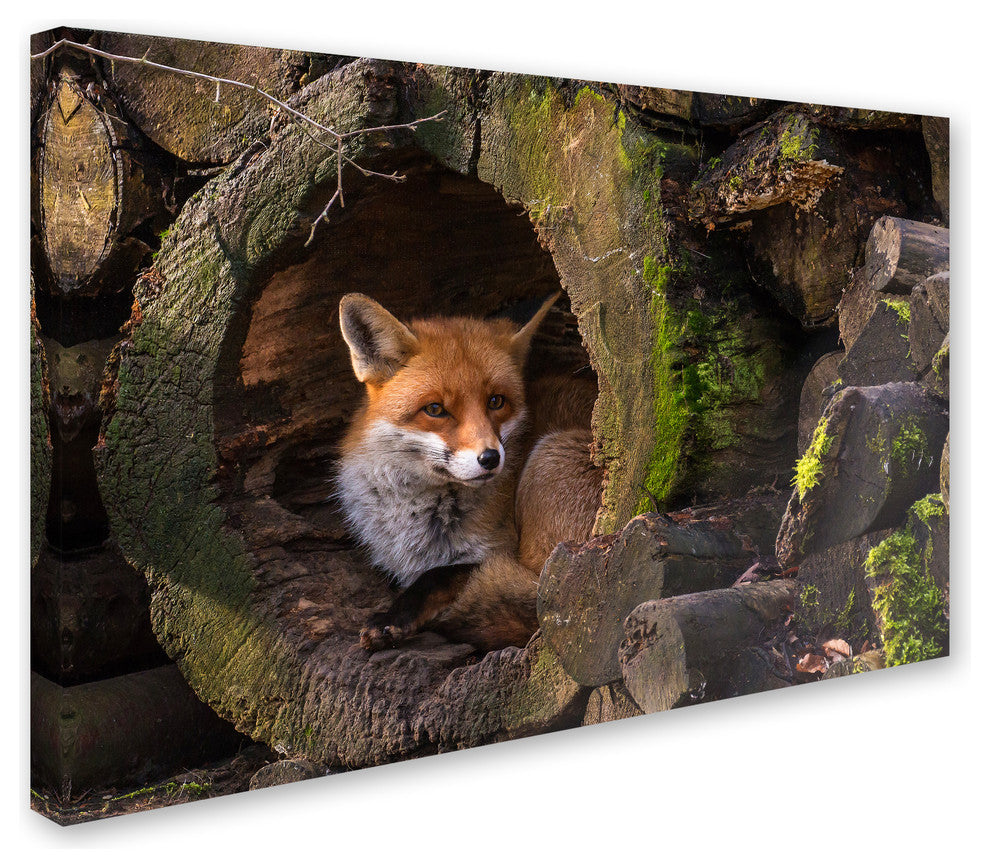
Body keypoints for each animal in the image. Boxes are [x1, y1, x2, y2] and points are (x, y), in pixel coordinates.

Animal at [336, 291, 603, 652]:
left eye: (496, 401)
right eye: (435, 409)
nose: (490, 458)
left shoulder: (497, 552)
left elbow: (439, 575)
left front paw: (394, 617)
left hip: (550, 463)